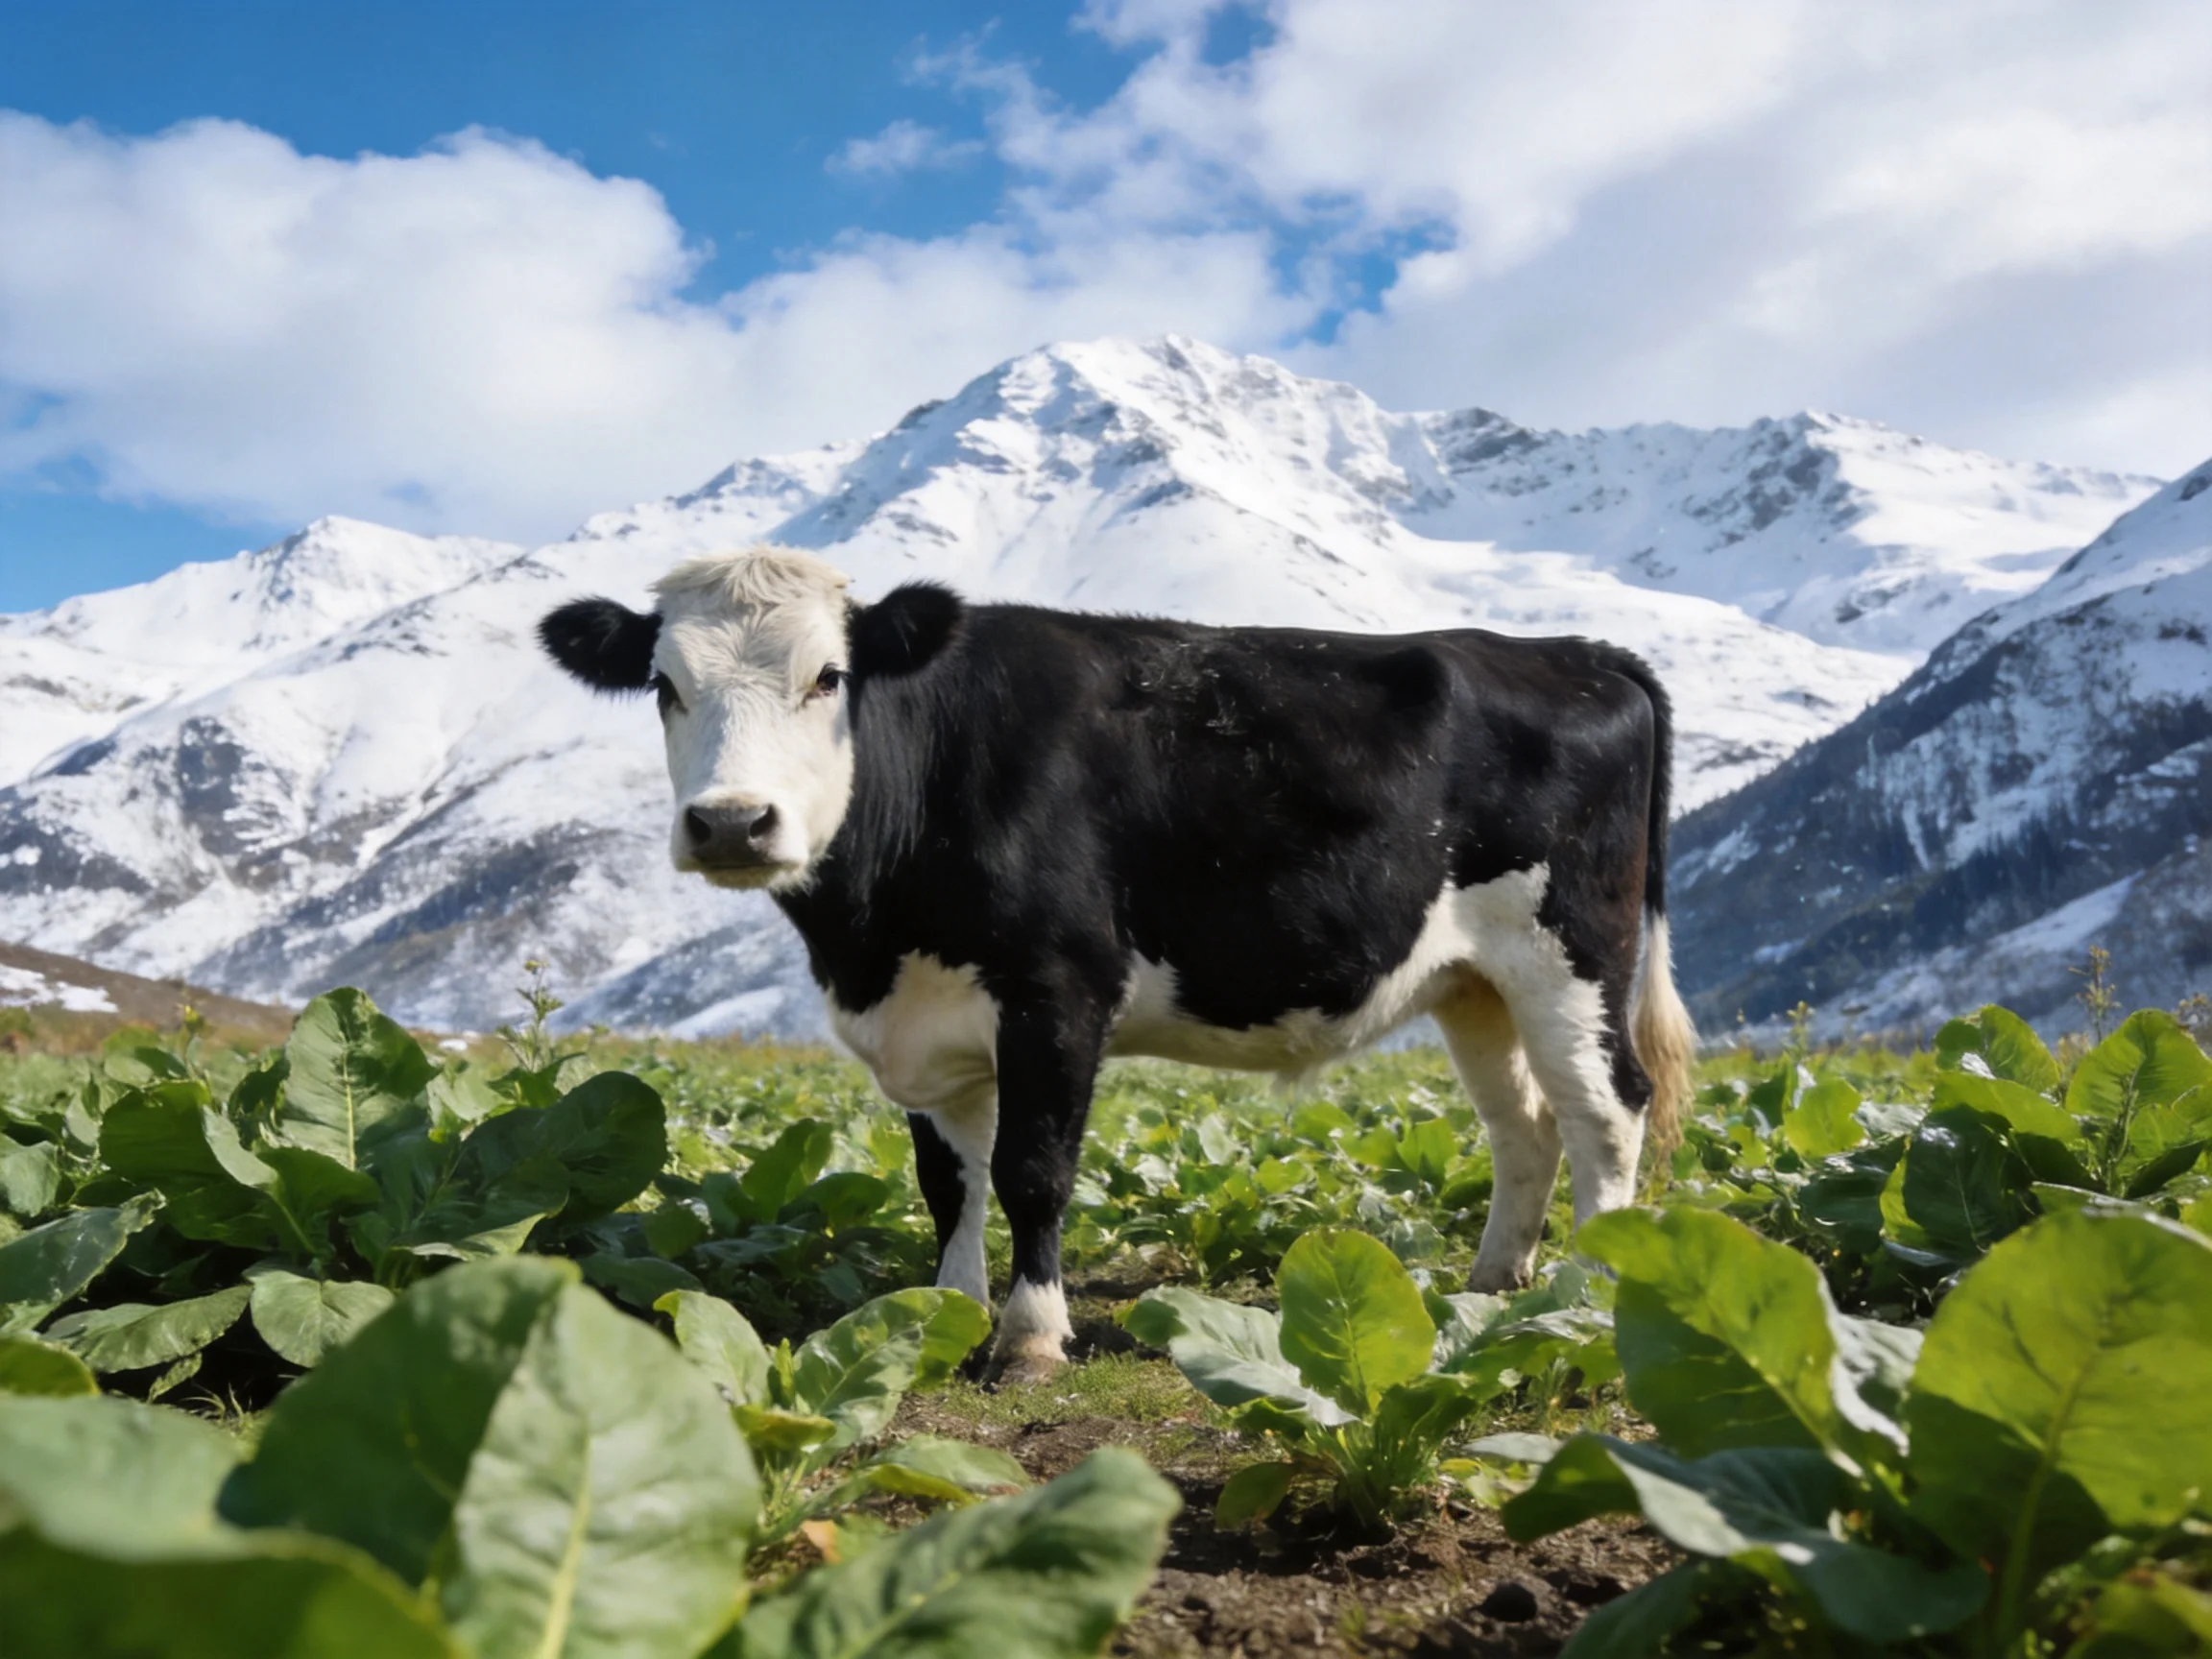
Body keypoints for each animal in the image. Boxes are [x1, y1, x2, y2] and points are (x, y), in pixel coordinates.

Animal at [540, 548, 1694, 1382]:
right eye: (664, 686)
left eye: (829, 676)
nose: (734, 823)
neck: (870, 932)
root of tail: (1580, 653)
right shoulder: (928, 1019)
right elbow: (947, 1183)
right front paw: (945, 1312)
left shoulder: (1057, 990)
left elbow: (1031, 1170)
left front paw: (1030, 1338)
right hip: (1474, 981)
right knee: (1522, 1123)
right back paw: (1498, 1286)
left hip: (1571, 949)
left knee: (1606, 1110)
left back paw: (1588, 1294)